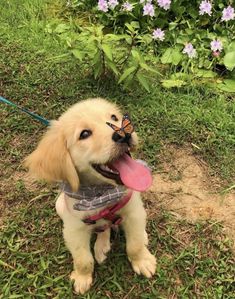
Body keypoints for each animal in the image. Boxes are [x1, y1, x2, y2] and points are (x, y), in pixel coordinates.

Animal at [24, 99, 156, 296]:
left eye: (114, 118)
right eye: (84, 134)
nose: (124, 134)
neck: (101, 194)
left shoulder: (133, 211)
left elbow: (135, 244)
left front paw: (142, 261)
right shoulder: (74, 230)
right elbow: (83, 259)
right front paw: (82, 278)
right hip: (59, 206)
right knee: (102, 229)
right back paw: (101, 246)